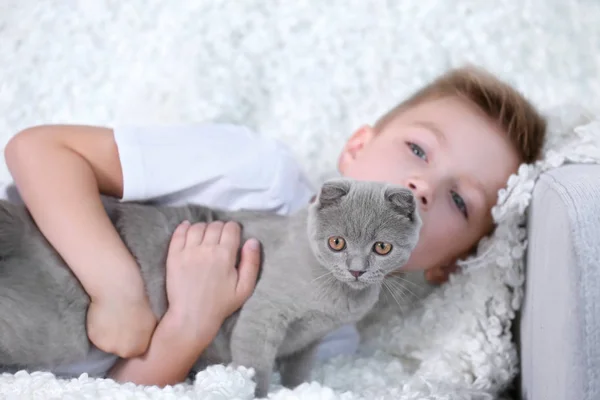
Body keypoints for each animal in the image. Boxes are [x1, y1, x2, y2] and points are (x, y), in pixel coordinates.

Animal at [0, 179, 422, 396]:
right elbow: (256, 366)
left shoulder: (311, 339)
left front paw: (300, 390)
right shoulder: (263, 313)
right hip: (54, 332)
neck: (337, 299)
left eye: (381, 248)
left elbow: (299, 368)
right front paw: (259, 391)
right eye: (337, 243)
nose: (356, 270)